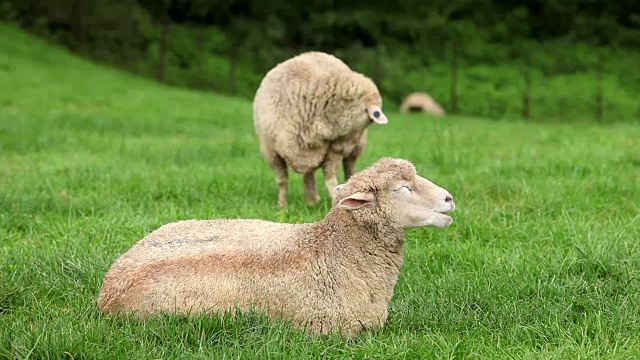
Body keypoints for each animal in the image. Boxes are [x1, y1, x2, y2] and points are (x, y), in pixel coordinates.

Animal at [252, 51, 388, 208]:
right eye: (367, 120)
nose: (347, 149)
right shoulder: (271, 152)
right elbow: (282, 180)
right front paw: (282, 206)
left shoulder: (333, 148)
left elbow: (331, 180)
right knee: (309, 174)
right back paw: (311, 201)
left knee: (348, 169)